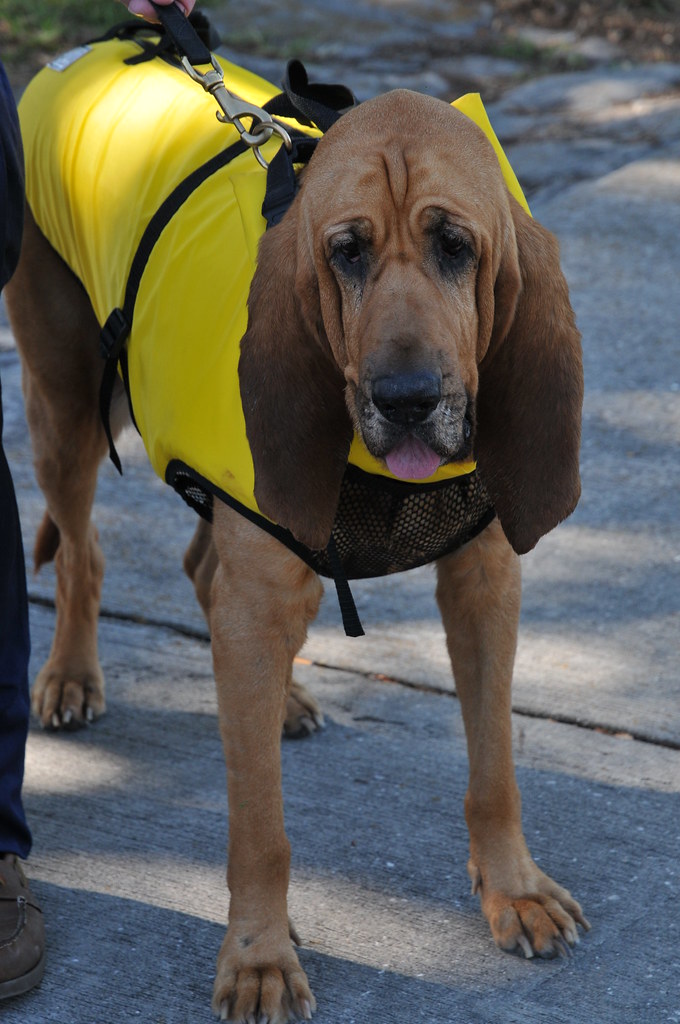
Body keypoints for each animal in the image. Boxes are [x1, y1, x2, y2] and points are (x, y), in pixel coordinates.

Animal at [6, 75, 585, 1019]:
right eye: (345, 253)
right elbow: (261, 831)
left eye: (456, 247)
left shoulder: (484, 580)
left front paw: (516, 891)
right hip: (63, 406)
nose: (408, 397)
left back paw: (282, 701)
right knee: (85, 553)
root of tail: (79, 59)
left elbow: (496, 763)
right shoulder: (258, 594)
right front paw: (259, 959)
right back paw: (71, 677)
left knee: (199, 570)